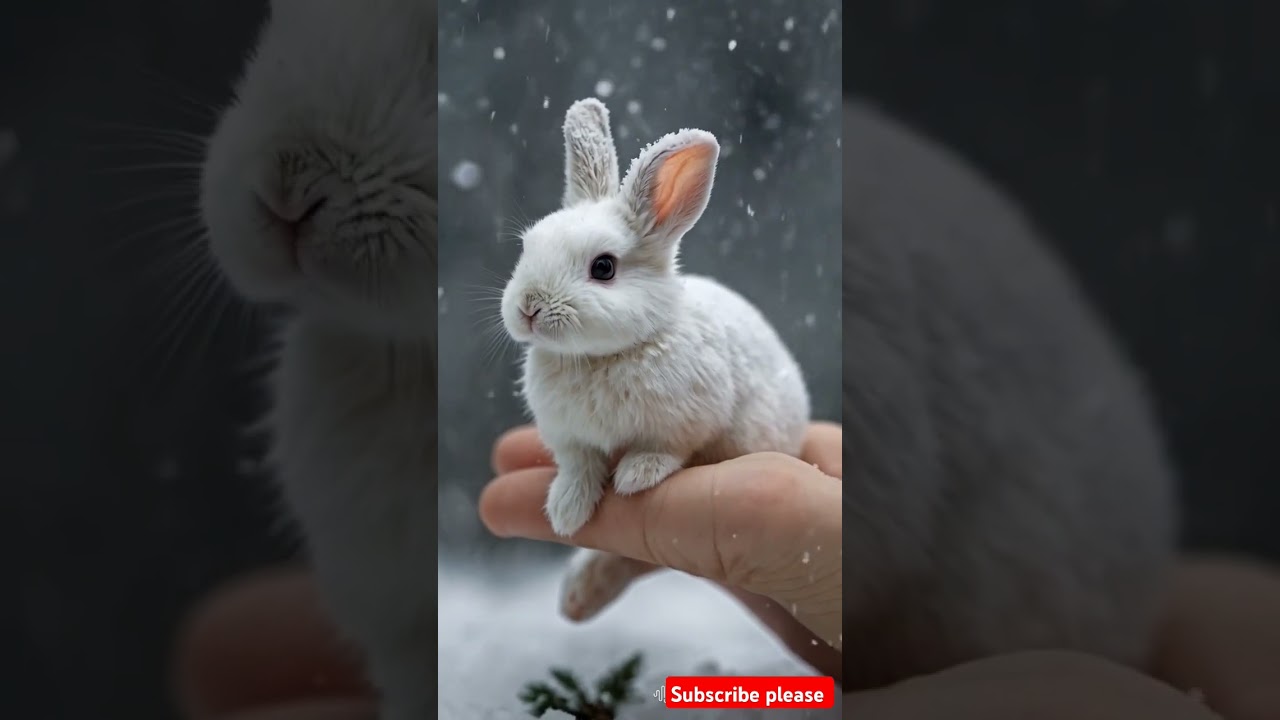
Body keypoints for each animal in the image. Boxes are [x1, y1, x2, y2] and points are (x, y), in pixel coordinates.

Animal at [499, 98, 812, 622]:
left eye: (603, 267)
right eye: (528, 247)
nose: (529, 308)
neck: (602, 356)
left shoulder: (682, 425)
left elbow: (664, 450)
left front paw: (635, 476)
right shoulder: (569, 439)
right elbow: (578, 466)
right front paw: (567, 509)